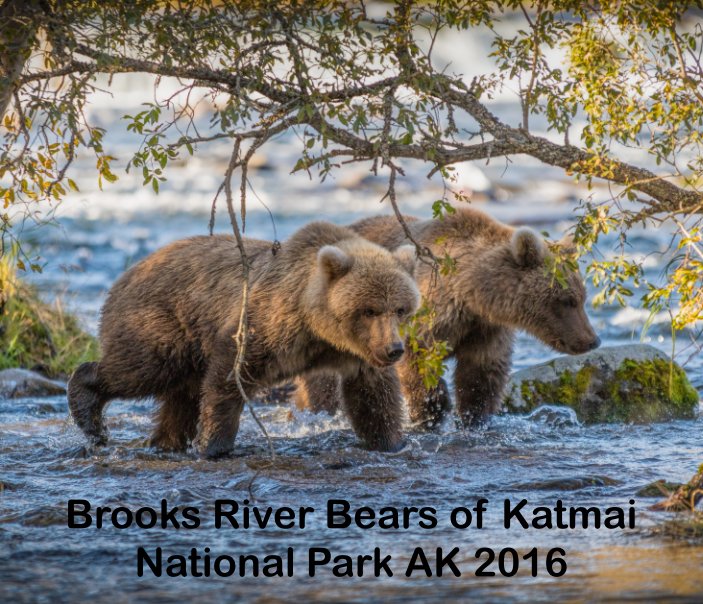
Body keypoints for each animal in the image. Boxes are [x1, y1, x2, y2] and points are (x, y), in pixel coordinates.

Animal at [67, 222, 418, 458]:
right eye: (369, 309)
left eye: (400, 309)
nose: (394, 350)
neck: (315, 327)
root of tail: (125, 275)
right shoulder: (265, 323)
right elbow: (228, 378)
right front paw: (213, 445)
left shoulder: (357, 356)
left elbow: (374, 397)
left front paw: (391, 442)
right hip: (164, 322)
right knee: (141, 368)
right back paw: (89, 413)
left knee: (181, 399)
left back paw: (166, 442)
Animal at [296, 208, 600, 430]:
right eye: (567, 300)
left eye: (582, 297)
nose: (592, 340)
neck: (470, 293)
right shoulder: (425, 313)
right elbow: (416, 361)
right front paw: (432, 409)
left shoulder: (485, 328)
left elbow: (481, 374)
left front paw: (473, 417)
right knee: (324, 384)